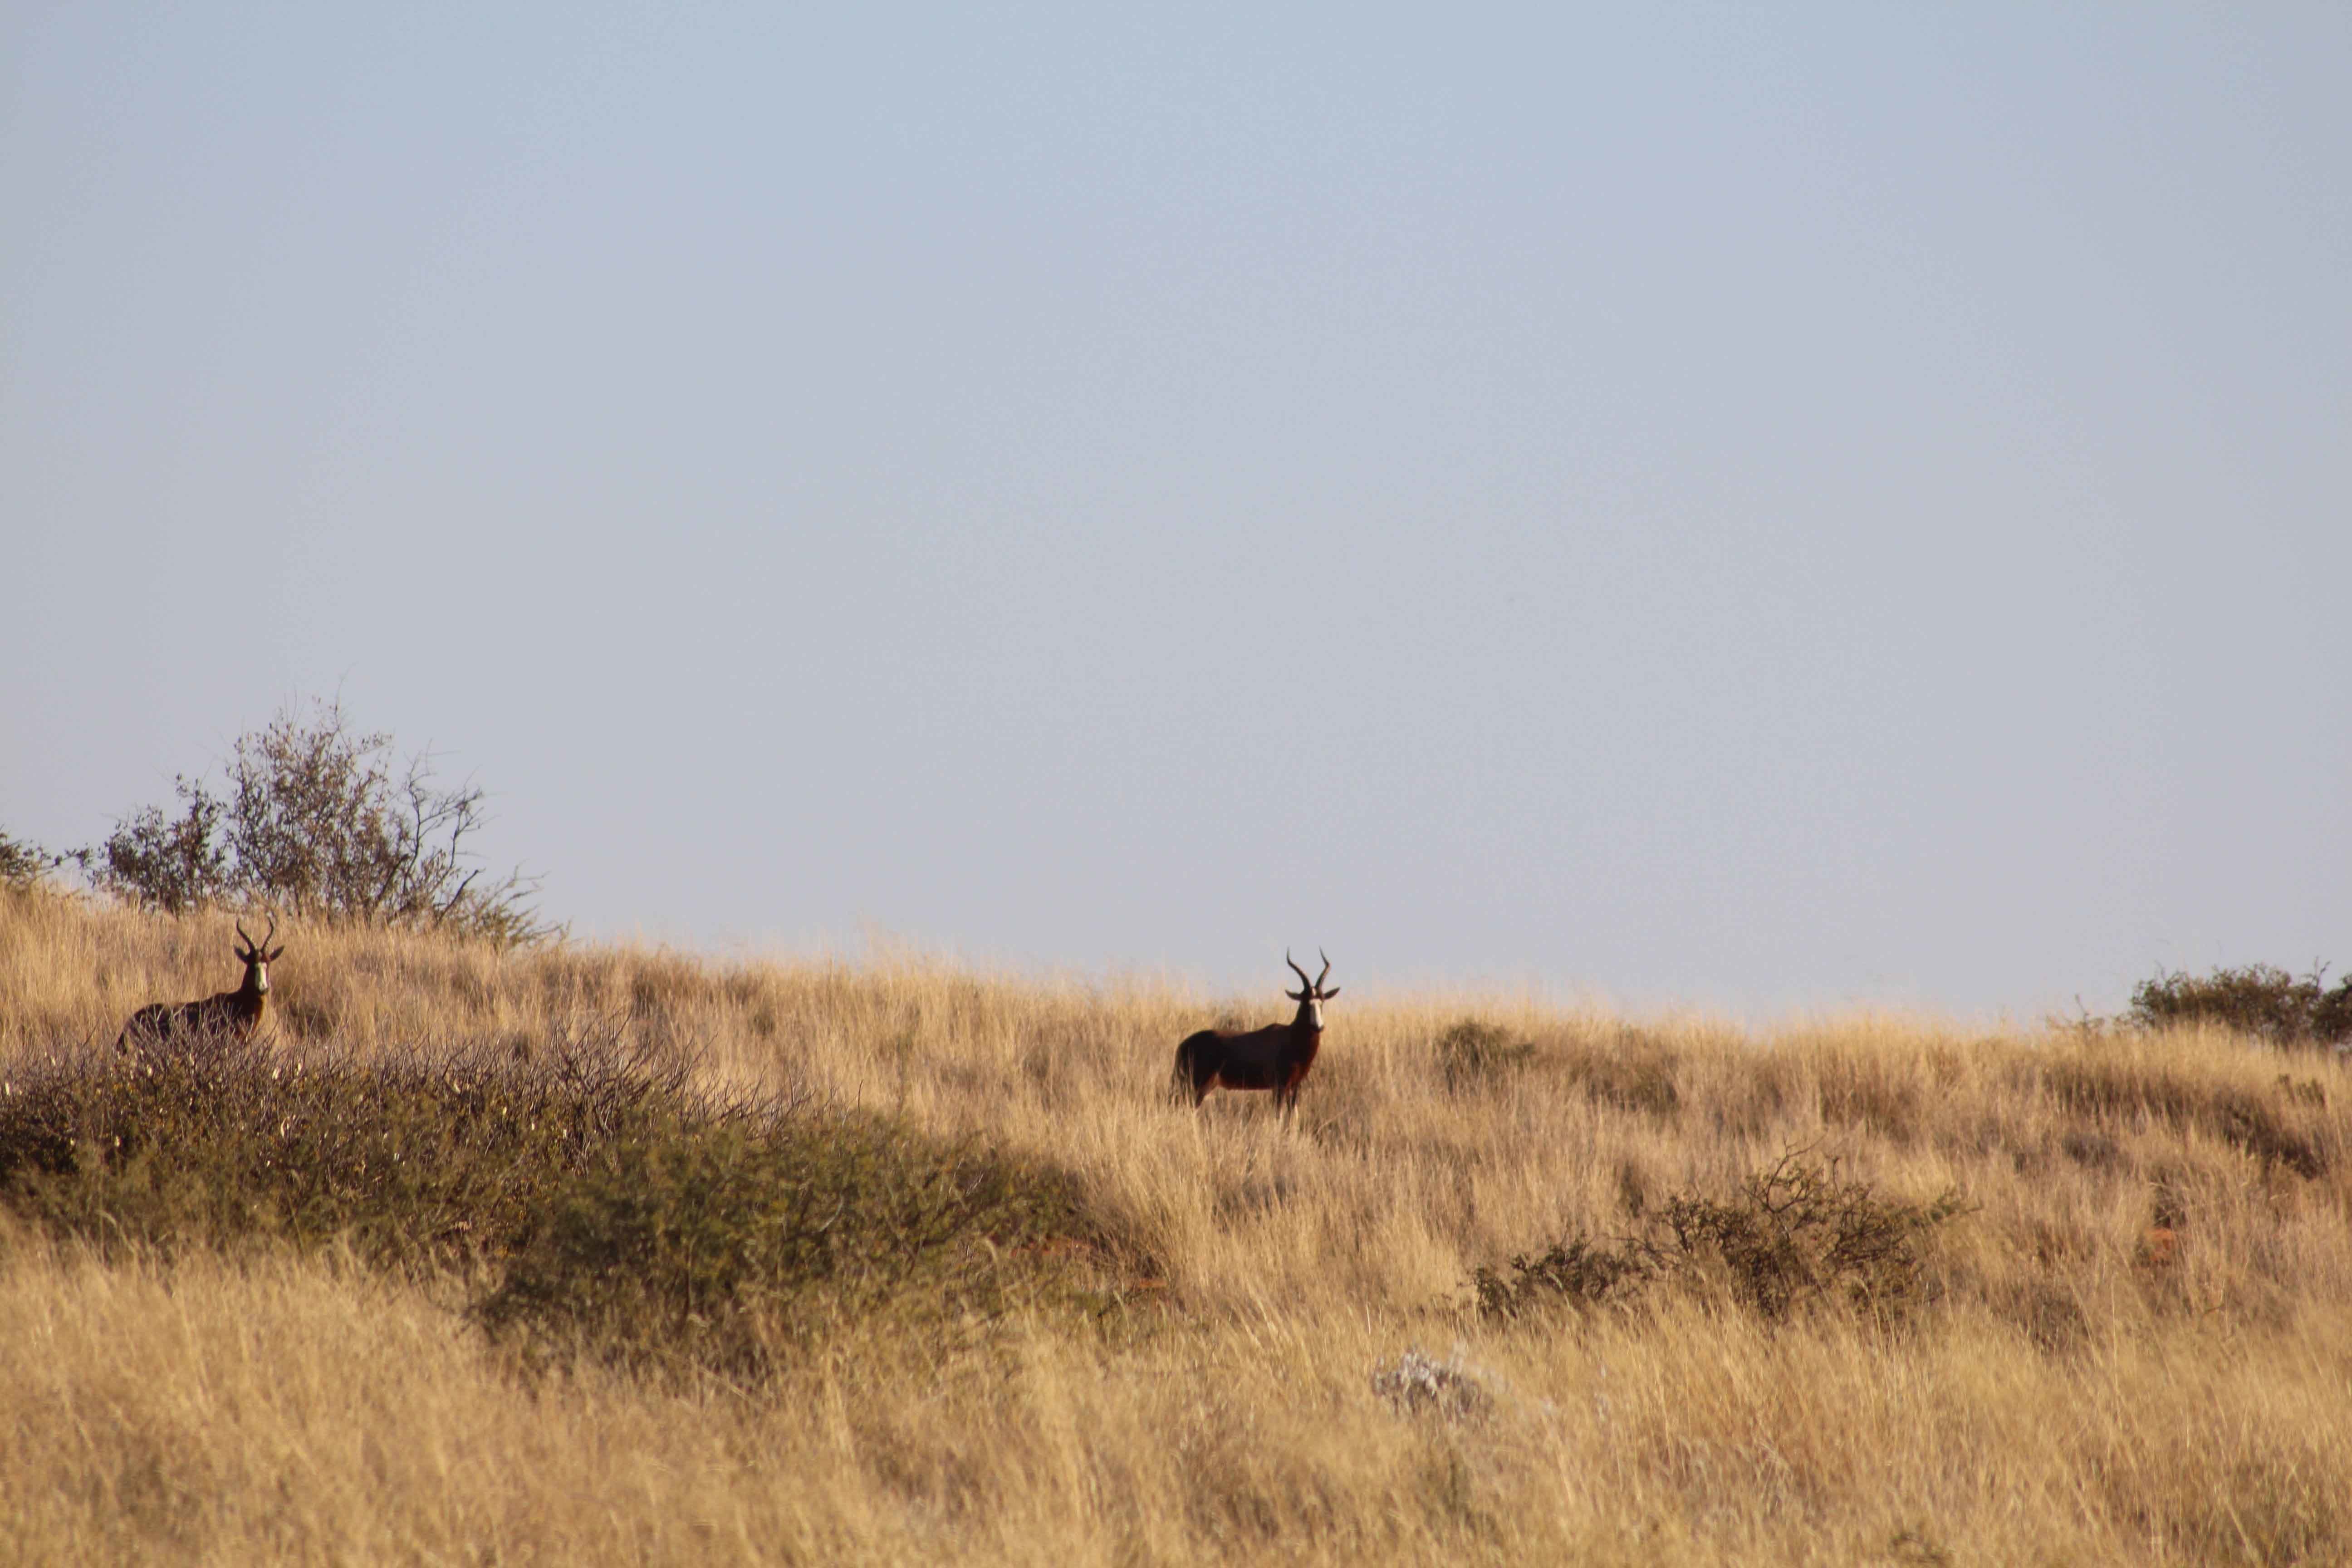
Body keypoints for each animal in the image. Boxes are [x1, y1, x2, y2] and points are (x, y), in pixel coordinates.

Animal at [1176, 959, 1345, 1114]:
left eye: (1322, 1001)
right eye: (1305, 1002)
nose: (1319, 1027)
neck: (1291, 1037)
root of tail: (1184, 1045)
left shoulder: (1295, 1086)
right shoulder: (1280, 1087)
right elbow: (1278, 1115)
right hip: (1199, 1087)